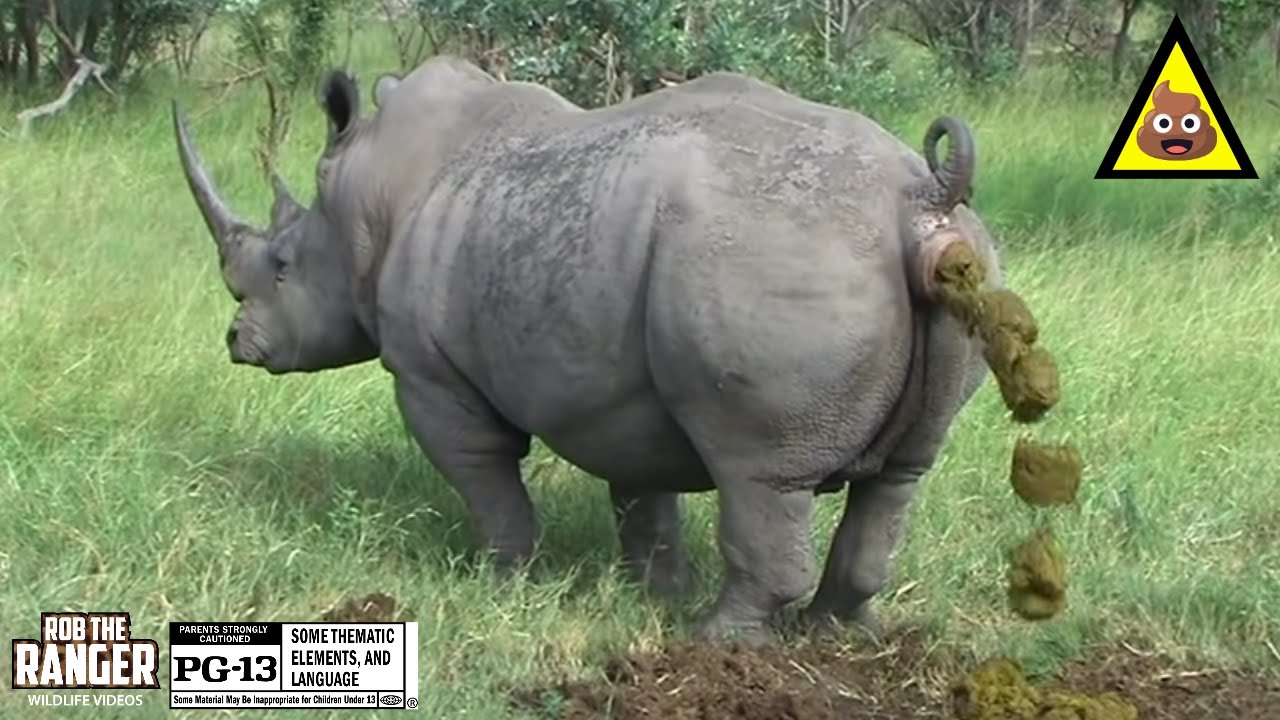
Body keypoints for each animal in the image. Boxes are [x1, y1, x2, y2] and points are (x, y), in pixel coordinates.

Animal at [172, 55, 1001, 645]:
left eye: (281, 265)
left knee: (760, 473)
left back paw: (716, 643)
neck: (366, 203)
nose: (238, 342)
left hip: (774, 253)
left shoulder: (429, 373)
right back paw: (838, 636)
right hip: (948, 266)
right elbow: (642, 489)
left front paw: (501, 581)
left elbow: (485, 477)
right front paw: (651, 591)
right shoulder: (621, 384)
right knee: (899, 475)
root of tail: (922, 199)